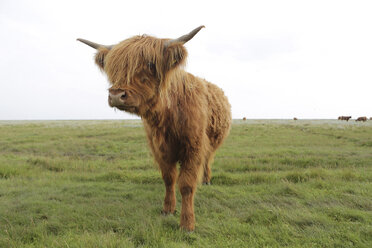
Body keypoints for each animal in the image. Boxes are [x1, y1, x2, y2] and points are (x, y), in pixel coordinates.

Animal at [77, 25, 231, 231]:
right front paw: (168, 209)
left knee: (208, 160)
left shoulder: (194, 146)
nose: (116, 95)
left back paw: (206, 180)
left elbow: (186, 184)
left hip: (213, 143)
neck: (169, 115)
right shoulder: (160, 148)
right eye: (114, 66)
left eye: (150, 64)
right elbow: (169, 178)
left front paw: (187, 223)